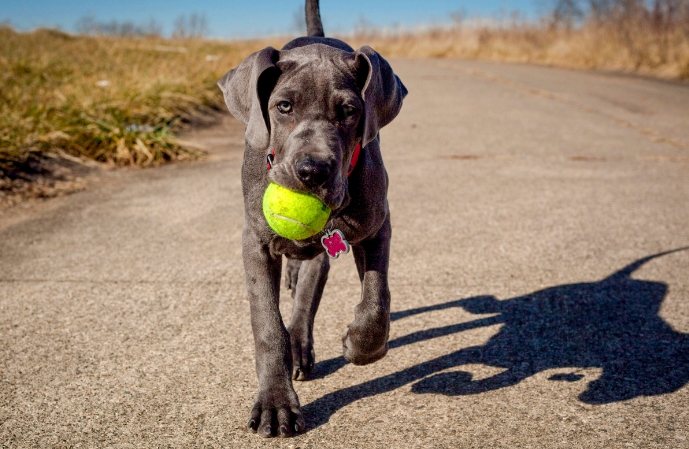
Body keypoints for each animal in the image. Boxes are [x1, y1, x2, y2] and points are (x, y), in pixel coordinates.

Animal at [218, 0, 406, 436]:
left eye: (350, 110)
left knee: (307, 295)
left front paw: (359, 344)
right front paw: (276, 404)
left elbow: (376, 300)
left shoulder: (376, 227)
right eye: (283, 106)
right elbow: (268, 325)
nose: (312, 172)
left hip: (326, 249)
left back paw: (302, 343)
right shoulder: (255, 243)